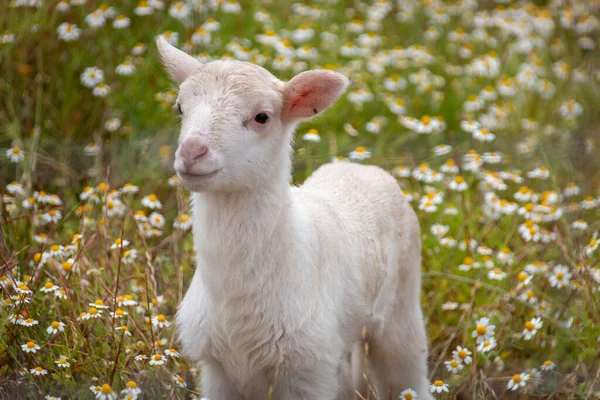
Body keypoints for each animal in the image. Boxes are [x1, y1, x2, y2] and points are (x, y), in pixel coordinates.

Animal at [156, 36, 432, 398]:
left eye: (262, 117)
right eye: (179, 108)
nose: (192, 153)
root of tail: (361, 167)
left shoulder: (308, 370)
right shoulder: (216, 369)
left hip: (402, 310)